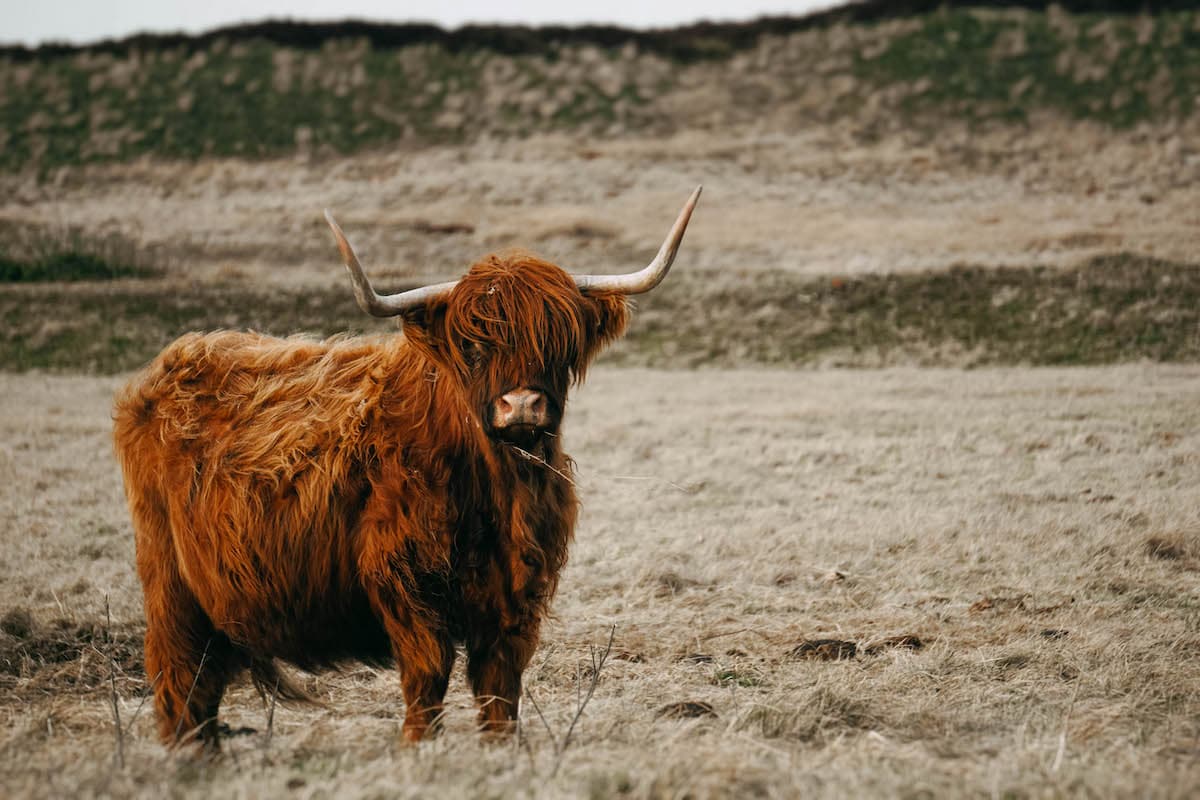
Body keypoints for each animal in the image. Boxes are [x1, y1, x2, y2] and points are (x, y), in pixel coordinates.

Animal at [115, 188, 700, 753]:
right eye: (473, 346)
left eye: (560, 343)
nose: (522, 406)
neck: (497, 492)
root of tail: (174, 359)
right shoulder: (405, 579)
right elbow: (428, 673)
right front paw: (418, 747)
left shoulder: (518, 593)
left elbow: (500, 683)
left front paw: (501, 749)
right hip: (169, 580)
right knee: (180, 675)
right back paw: (189, 759)